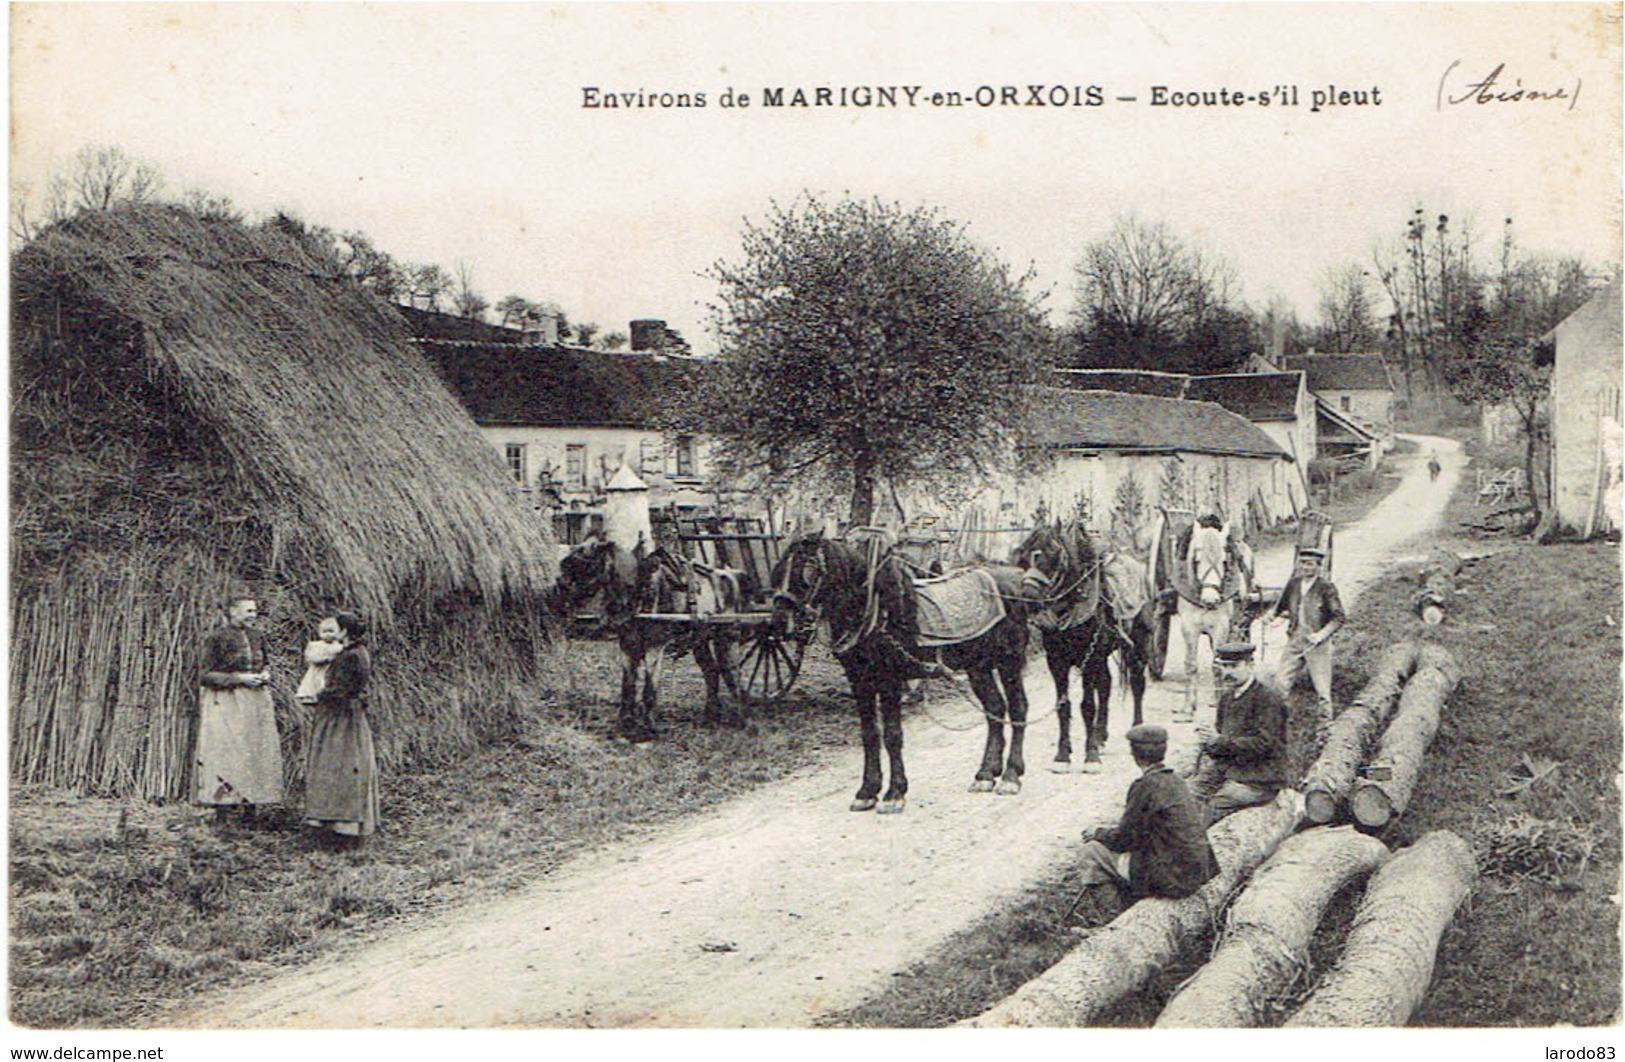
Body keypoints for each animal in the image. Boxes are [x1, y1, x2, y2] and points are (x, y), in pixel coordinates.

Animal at [549, 535, 744, 743]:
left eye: (583, 561)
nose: (557, 590)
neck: (640, 592)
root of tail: (729, 575)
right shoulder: (627, 646)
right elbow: (628, 686)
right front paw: (625, 724)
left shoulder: (654, 647)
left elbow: (649, 689)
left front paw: (649, 729)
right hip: (699, 641)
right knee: (712, 672)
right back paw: (710, 717)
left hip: (726, 638)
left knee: (732, 674)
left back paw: (738, 717)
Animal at [770, 532, 1027, 815]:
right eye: (779, 567)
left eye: (809, 566)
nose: (779, 622)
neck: (875, 612)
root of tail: (1013, 577)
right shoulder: (859, 680)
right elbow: (870, 735)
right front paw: (867, 791)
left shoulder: (890, 680)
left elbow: (892, 735)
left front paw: (894, 793)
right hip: (978, 666)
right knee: (995, 708)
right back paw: (986, 774)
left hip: (1009, 660)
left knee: (1017, 708)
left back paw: (1011, 776)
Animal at [1007, 522, 1150, 772]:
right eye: (1024, 555)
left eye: (1054, 554)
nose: (1029, 596)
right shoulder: (1057, 661)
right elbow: (1064, 706)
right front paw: (1063, 755)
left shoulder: (1089, 659)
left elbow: (1087, 705)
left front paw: (1090, 755)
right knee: (1106, 685)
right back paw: (1101, 735)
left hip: (1137, 645)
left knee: (1137, 683)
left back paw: (1136, 728)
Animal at [1170, 516, 1254, 724]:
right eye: (1197, 560)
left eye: (1224, 561)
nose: (1210, 600)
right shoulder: (1189, 627)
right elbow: (1190, 665)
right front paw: (1188, 708)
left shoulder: (1220, 627)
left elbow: (1218, 665)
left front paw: (1218, 699)